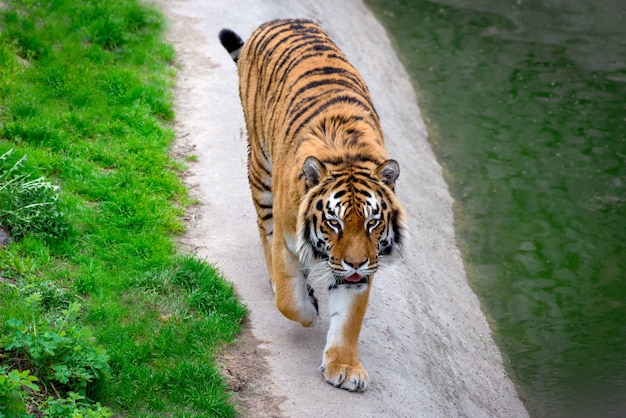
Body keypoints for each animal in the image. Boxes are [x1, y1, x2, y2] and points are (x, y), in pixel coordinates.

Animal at [218, 18, 404, 392]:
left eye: (372, 223)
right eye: (334, 223)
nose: (356, 263)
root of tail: (277, 21)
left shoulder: (363, 267)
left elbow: (349, 318)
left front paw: (344, 367)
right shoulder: (289, 242)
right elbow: (289, 301)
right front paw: (309, 309)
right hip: (260, 171)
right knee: (265, 230)